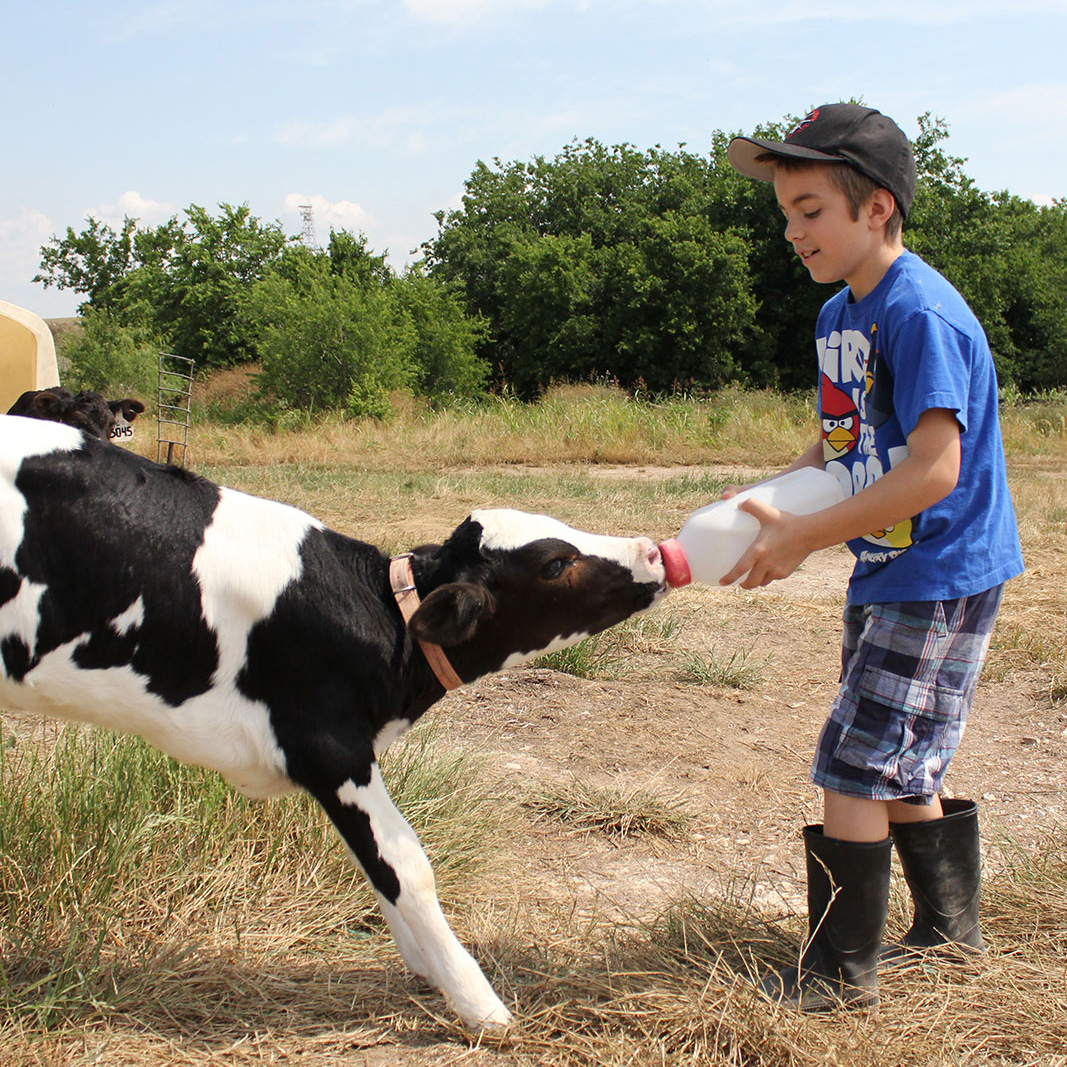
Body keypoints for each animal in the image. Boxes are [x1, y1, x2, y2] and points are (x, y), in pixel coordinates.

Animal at [0, 411, 665, 1028]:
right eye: (554, 564)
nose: (654, 552)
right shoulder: (329, 746)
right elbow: (405, 865)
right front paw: (479, 1003)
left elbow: (374, 861)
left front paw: (428, 966)